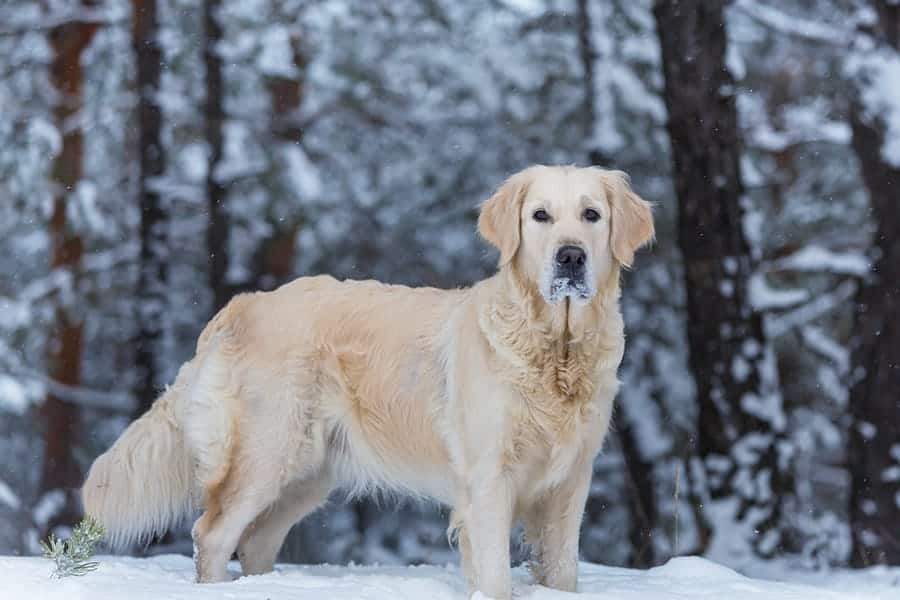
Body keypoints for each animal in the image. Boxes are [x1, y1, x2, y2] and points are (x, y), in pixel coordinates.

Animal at [82, 164, 652, 600]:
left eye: (591, 215)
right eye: (540, 216)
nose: (571, 256)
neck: (554, 350)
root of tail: (244, 303)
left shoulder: (570, 482)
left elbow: (562, 570)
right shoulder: (489, 479)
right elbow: (493, 576)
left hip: (308, 473)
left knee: (257, 540)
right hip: (266, 453)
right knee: (213, 534)